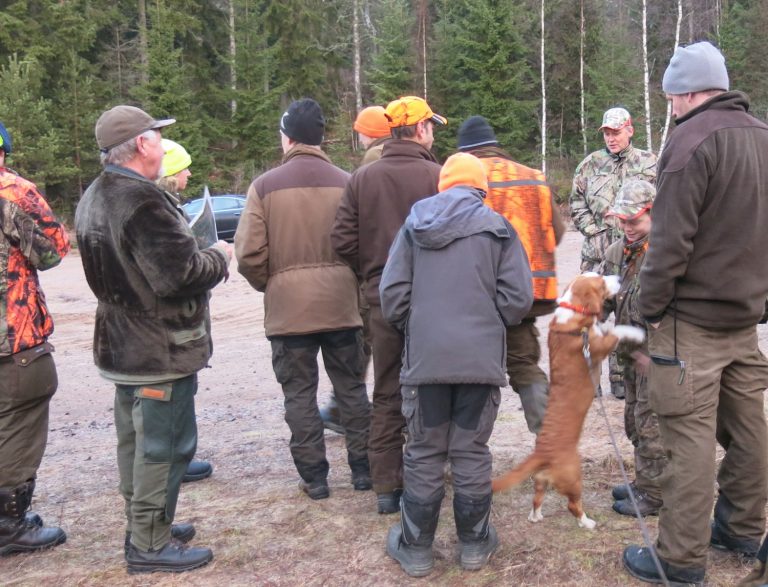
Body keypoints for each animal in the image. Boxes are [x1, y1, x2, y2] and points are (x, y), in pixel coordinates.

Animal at [488, 274, 644, 528]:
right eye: (601, 281)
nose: (620, 276)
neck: (573, 313)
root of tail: (542, 453)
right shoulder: (600, 345)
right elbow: (618, 330)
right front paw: (637, 332)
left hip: (542, 481)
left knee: (537, 497)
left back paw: (536, 516)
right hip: (574, 477)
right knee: (573, 505)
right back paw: (587, 523)